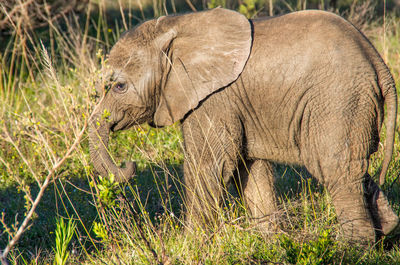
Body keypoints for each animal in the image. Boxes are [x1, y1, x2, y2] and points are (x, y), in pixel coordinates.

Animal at [89, 7, 398, 242]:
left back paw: (352, 247)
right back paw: (388, 229)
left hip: (338, 99)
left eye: (119, 86)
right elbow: (249, 167)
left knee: (333, 165)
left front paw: (189, 244)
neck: (176, 26)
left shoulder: (214, 98)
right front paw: (271, 242)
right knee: (354, 167)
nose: (129, 164)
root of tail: (377, 61)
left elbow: (209, 164)